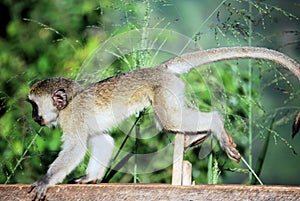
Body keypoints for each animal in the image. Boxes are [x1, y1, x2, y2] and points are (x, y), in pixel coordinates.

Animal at [28, 46, 300, 199]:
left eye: (34, 105)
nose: (33, 117)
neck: (70, 102)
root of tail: (159, 69)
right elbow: (103, 140)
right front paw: (89, 179)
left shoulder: (73, 118)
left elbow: (75, 148)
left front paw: (45, 180)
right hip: (171, 89)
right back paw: (197, 136)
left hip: (164, 89)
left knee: (169, 120)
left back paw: (214, 124)